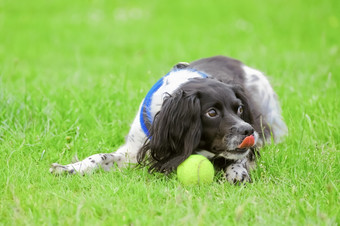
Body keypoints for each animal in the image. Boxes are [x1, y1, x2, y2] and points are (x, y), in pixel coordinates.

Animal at [50, 56, 288, 184]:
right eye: (212, 113)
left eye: (239, 109)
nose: (249, 131)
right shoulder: (133, 152)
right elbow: (99, 156)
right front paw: (69, 168)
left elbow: (239, 158)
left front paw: (237, 172)